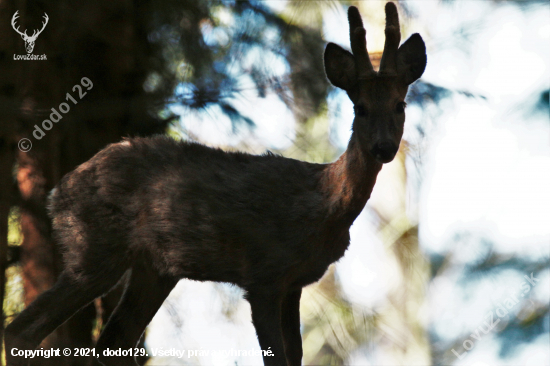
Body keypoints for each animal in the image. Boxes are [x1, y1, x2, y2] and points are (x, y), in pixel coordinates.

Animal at [5, 3, 426, 366]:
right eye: (360, 108)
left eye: (400, 105)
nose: (384, 148)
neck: (323, 206)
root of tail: (56, 193)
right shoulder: (263, 274)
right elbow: (276, 358)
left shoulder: (294, 283)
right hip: (92, 248)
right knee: (22, 330)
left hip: (153, 269)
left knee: (111, 343)